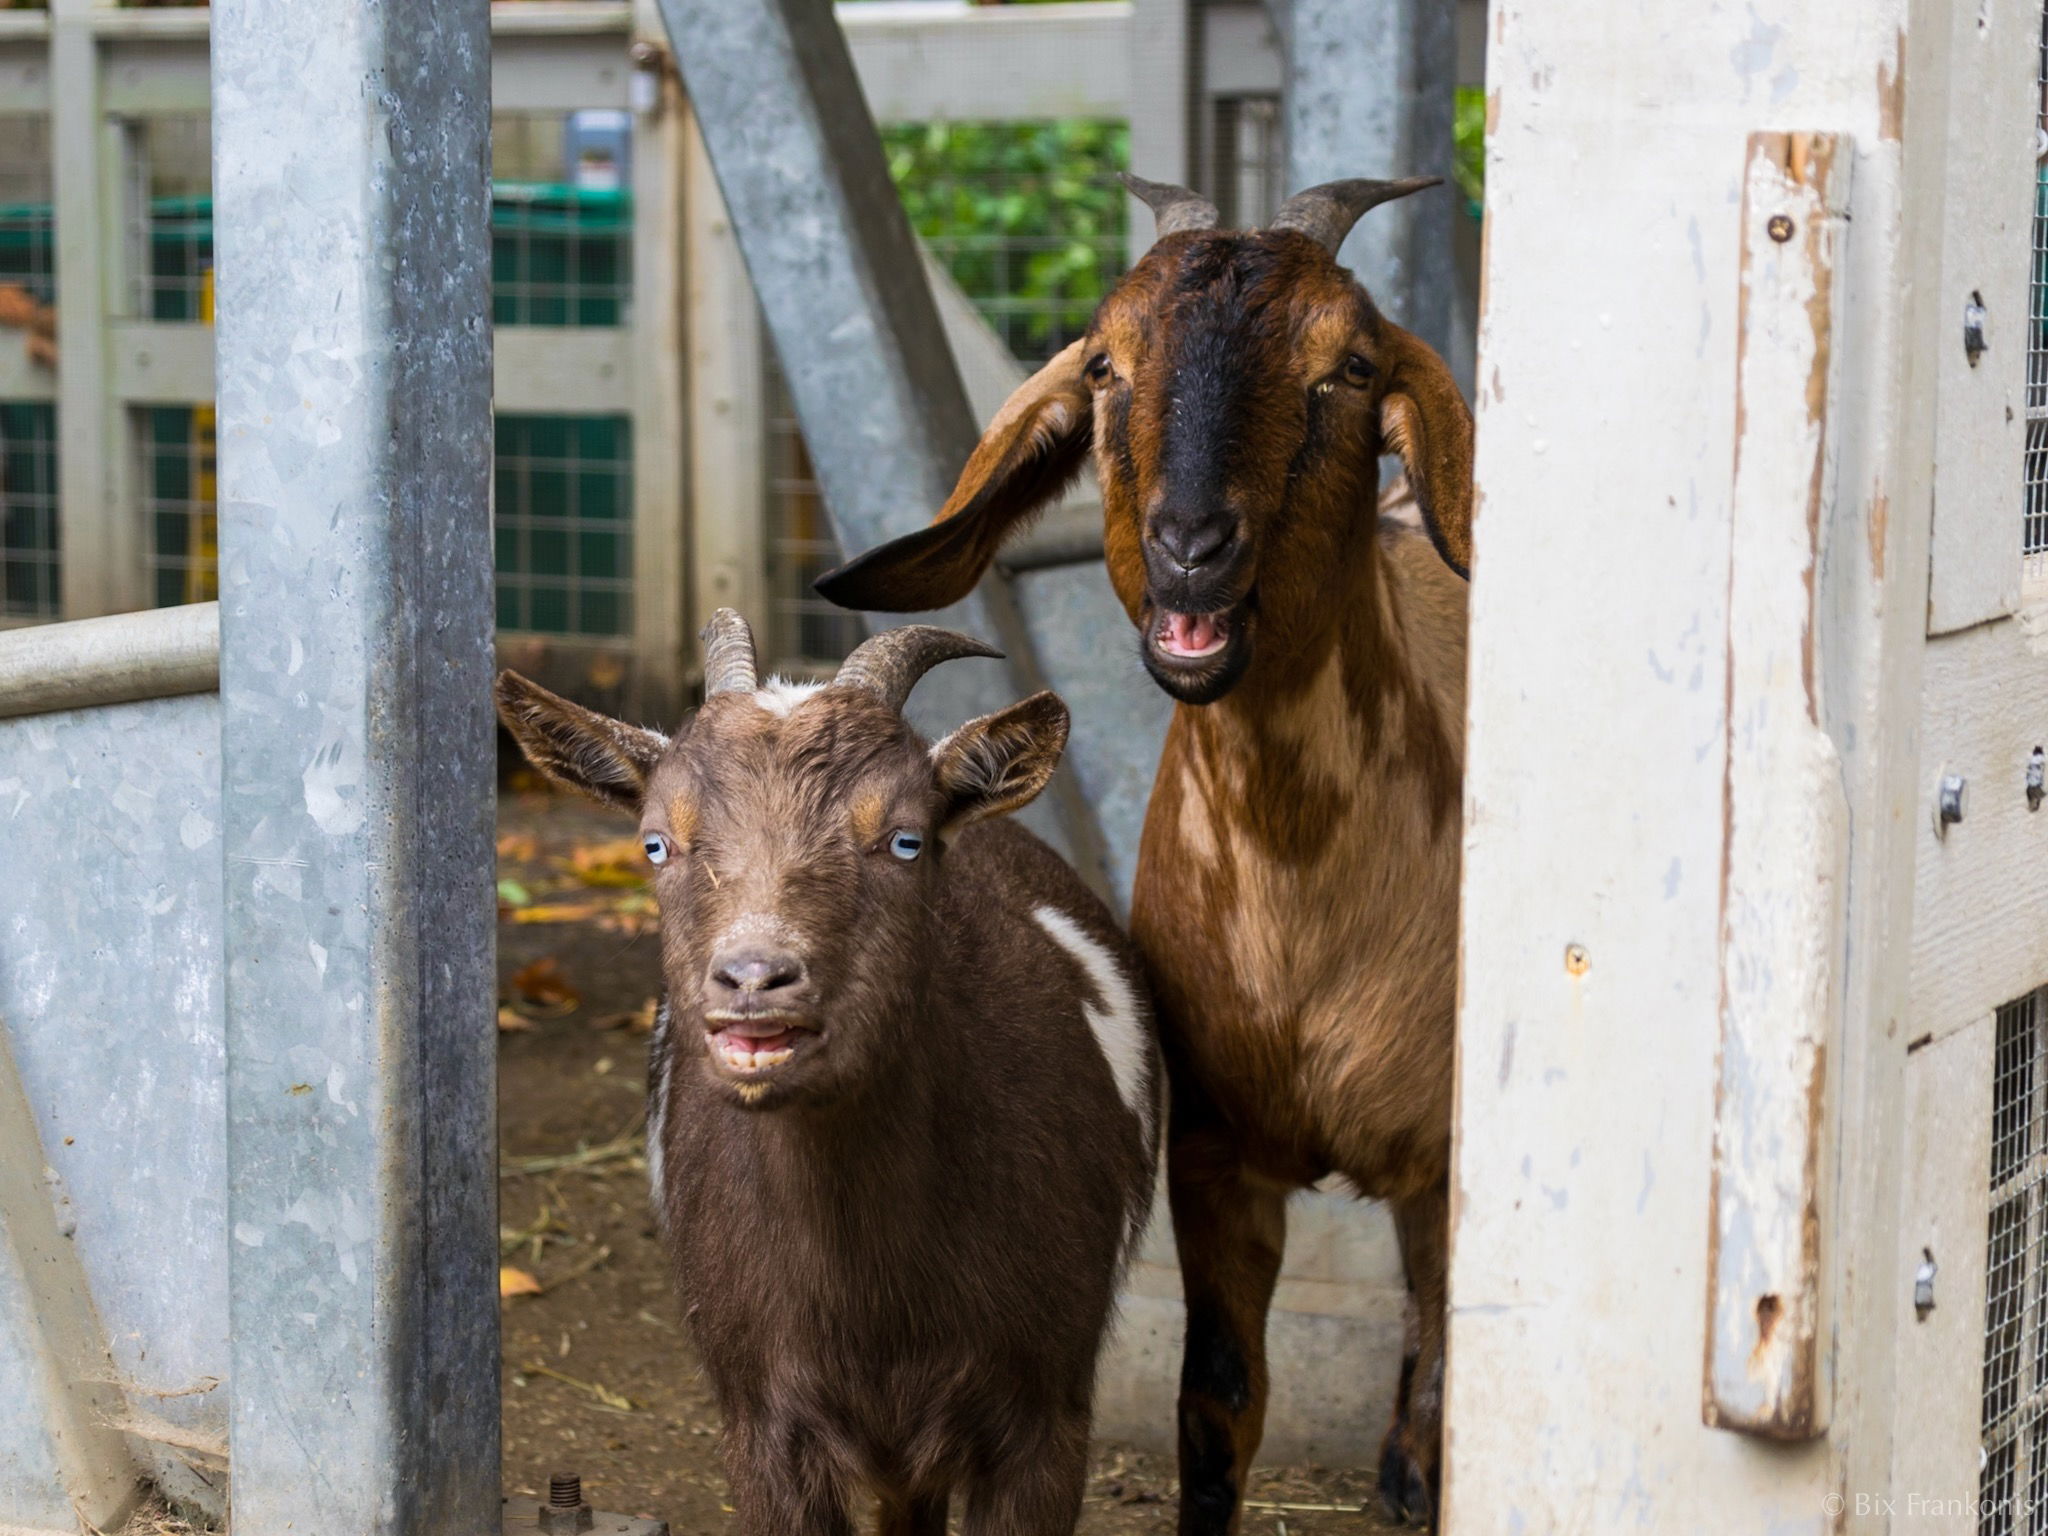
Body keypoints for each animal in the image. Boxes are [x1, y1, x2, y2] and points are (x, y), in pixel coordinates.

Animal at [495, 618, 1163, 1536]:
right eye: (656, 842)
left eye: (905, 840)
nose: (754, 978)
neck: (869, 1289)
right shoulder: (759, 1419)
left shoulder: (1048, 1410)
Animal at [823, 174, 1482, 1531]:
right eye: (1105, 366)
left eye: (1347, 367)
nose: (1191, 546)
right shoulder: (1215, 1152)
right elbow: (1216, 1401)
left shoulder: (1457, 1155)